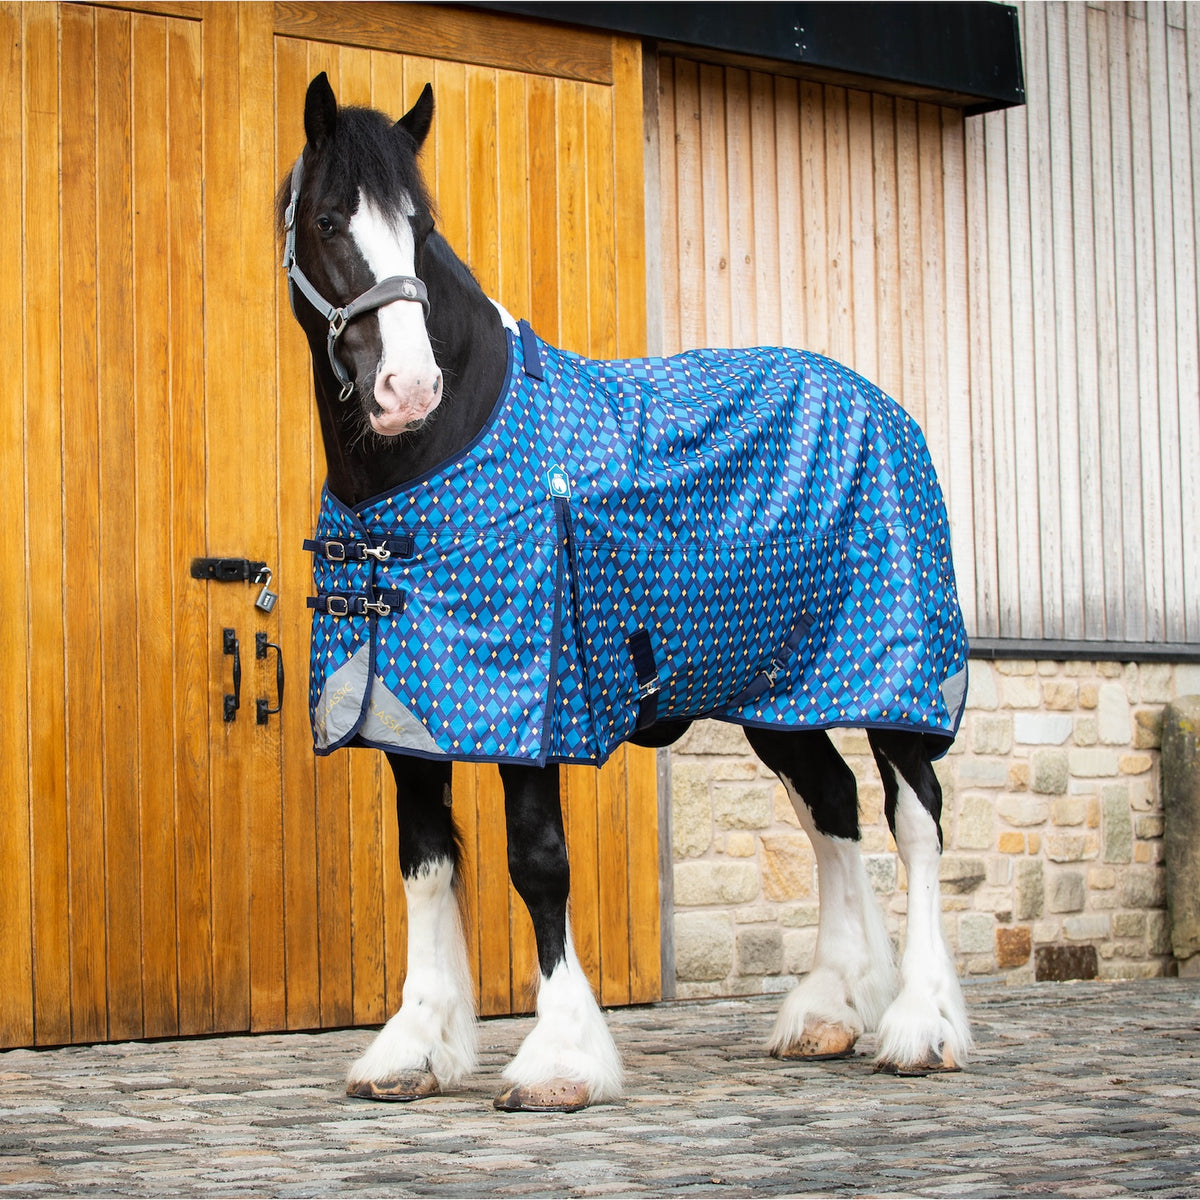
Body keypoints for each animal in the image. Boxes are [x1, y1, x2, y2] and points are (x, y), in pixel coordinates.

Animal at [279, 72, 973, 1112]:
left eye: (420, 225)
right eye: (328, 219)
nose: (409, 388)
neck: (437, 453)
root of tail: (878, 401)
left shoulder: (534, 707)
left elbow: (537, 863)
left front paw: (561, 1058)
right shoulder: (405, 713)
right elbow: (426, 863)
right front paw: (414, 1047)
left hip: (895, 675)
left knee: (915, 818)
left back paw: (921, 1023)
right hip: (780, 694)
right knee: (831, 808)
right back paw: (830, 1008)